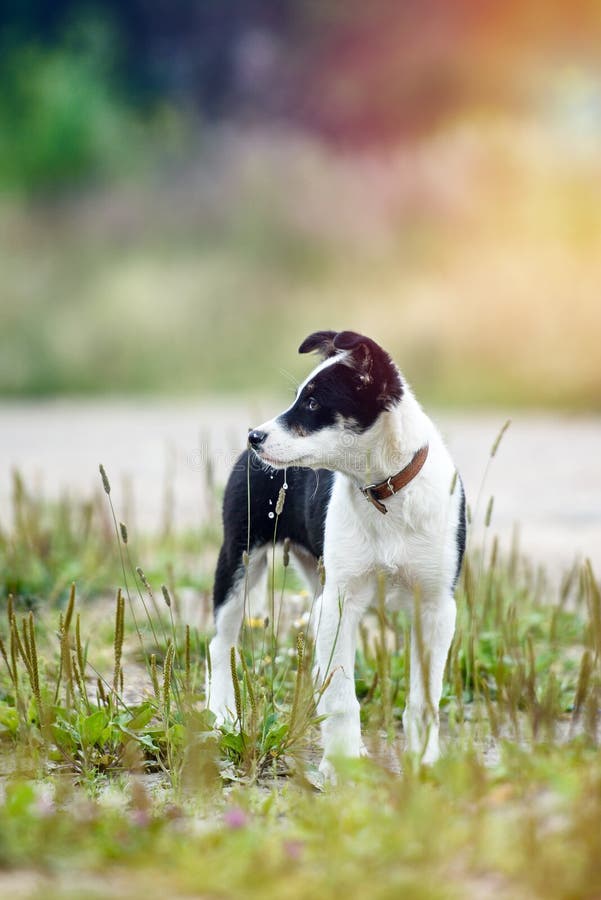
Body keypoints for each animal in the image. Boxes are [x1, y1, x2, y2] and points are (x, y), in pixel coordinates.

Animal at [206, 330, 464, 772]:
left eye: (313, 403)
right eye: (298, 397)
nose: (254, 437)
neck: (385, 494)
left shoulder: (435, 607)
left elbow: (424, 698)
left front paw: (424, 760)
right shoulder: (342, 602)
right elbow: (343, 697)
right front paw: (343, 765)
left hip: (317, 581)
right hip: (240, 561)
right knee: (221, 643)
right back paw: (224, 714)